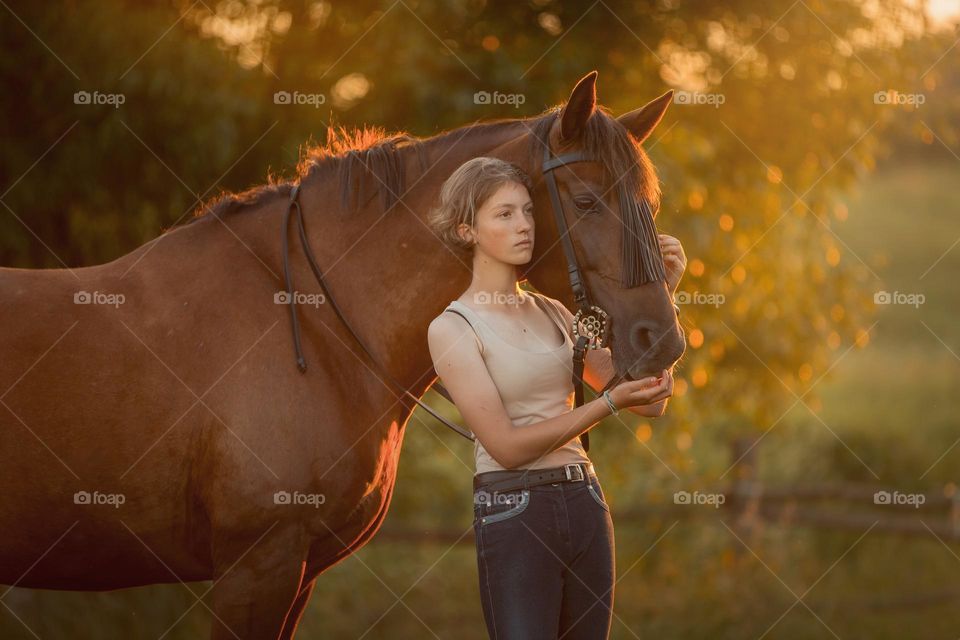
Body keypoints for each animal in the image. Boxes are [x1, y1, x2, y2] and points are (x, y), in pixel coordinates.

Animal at [0, 72, 684, 636]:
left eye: (648, 206)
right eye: (586, 202)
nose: (663, 343)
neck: (315, 321)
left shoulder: (296, 573)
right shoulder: (258, 566)